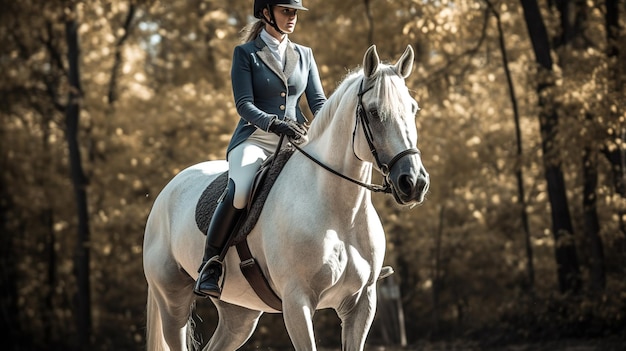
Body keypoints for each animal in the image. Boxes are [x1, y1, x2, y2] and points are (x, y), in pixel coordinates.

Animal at [143, 45, 428, 350]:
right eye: (374, 112)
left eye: (413, 108)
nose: (413, 182)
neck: (341, 214)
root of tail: (168, 189)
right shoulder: (297, 301)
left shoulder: (362, 302)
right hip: (172, 301)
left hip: (240, 313)